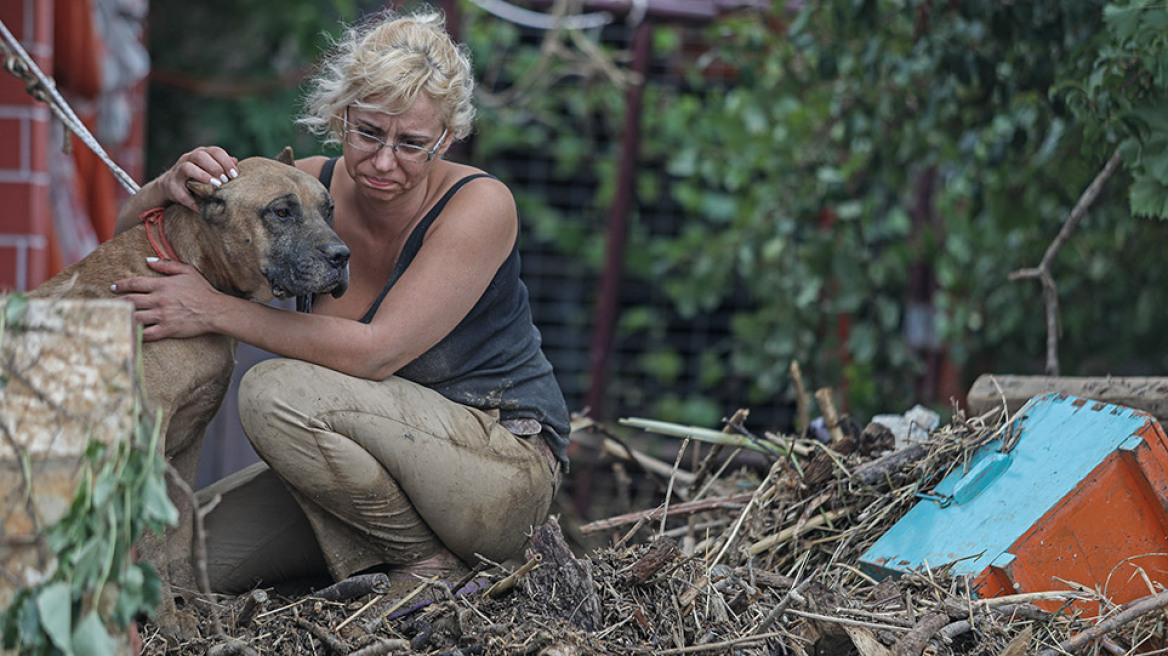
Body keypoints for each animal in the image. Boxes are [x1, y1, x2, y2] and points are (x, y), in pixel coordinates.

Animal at [27, 149, 345, 639]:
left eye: (328, 209)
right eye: (281, 212)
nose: (341, 256)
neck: (192, 264)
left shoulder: (190, 441)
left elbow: (180, 531)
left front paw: (191, 603)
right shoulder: (147, 443)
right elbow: (153, 538)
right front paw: (164, 618)